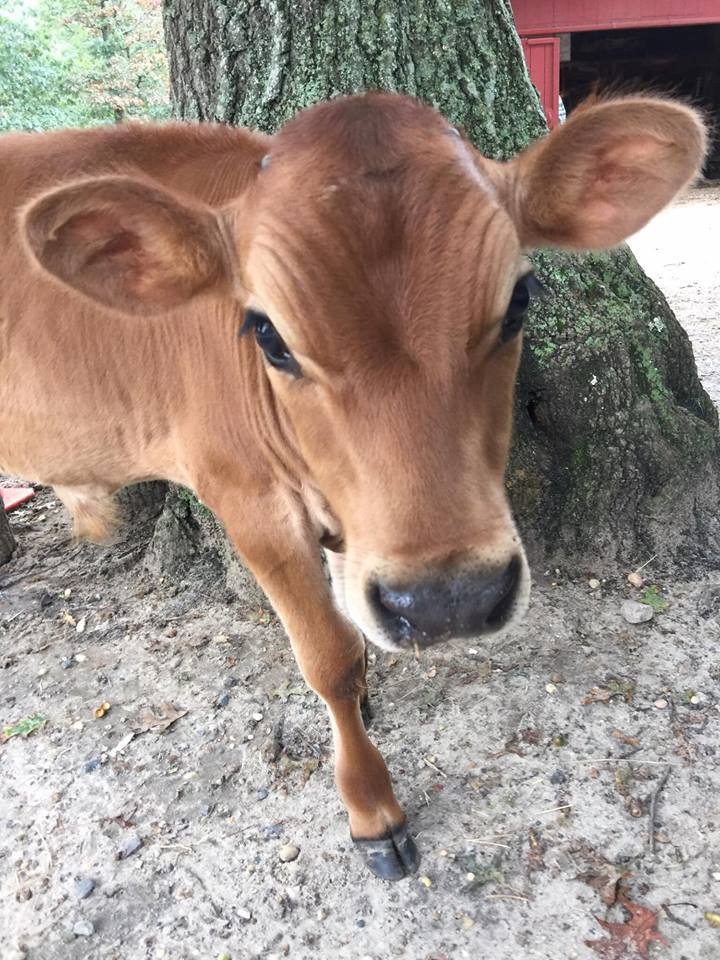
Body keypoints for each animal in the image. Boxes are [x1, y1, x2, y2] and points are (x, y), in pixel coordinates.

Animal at [0, 93, 705, 879]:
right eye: (268, 335)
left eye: (520, 300)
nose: (449, 599)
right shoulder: (248, 500)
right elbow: (330, 657)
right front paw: (373, 807)